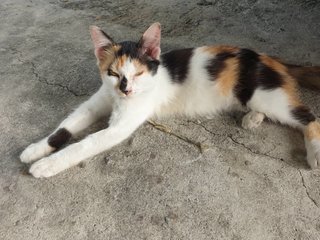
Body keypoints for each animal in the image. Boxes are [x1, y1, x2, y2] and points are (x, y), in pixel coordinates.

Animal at [21, 22, 320, 177]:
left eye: (138, 73)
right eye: (113, 73)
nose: (126, 90)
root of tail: (271, 59)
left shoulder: (121, 125)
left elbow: (86, 143)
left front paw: (47, 165)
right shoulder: (98, 100)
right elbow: (65, 126)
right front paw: (36, 150)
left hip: (264, 94)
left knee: (308, 116)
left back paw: (314, 155)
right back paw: (252, 118)